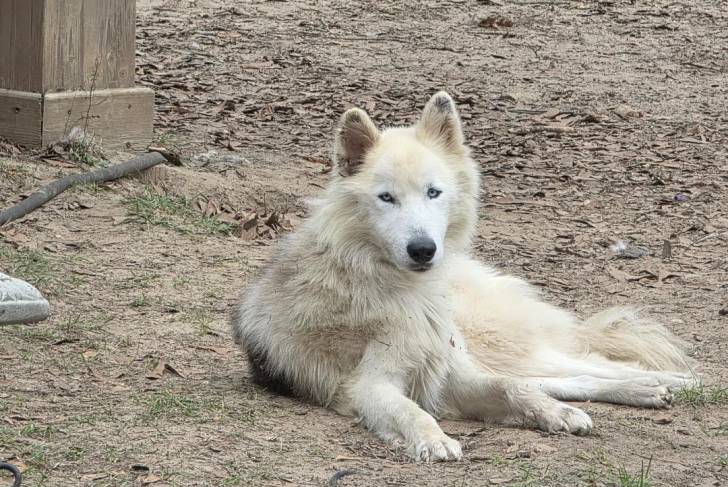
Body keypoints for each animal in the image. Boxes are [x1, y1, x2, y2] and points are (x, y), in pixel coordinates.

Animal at [231, 91, 696, 462]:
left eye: (433, 192)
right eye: (387, 198)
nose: (423, 249)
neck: (402, 289)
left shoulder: (452, 374)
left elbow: (513, 391)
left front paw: (554, 414)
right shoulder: (373, 385)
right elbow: (413, 410)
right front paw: (433, 439)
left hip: (491, 348)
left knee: (581, 366)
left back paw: (667, 382)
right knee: (570, 376)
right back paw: (651, 387)